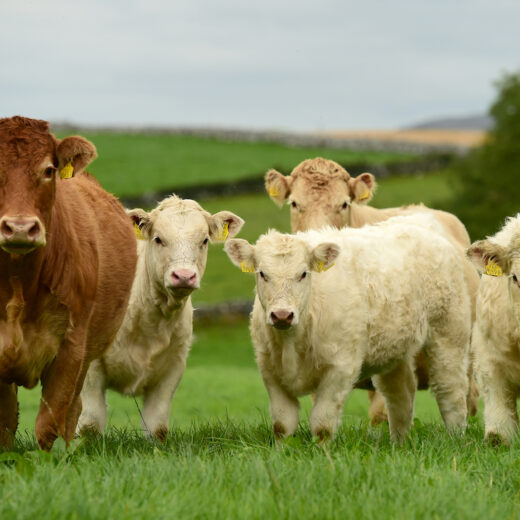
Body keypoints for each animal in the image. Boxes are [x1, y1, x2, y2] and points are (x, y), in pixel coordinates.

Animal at [0, 116, 137, 448]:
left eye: (49, 170)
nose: (19, 228)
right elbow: (3, 424)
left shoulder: (70, 348)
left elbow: (48, 423)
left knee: (73, 409)